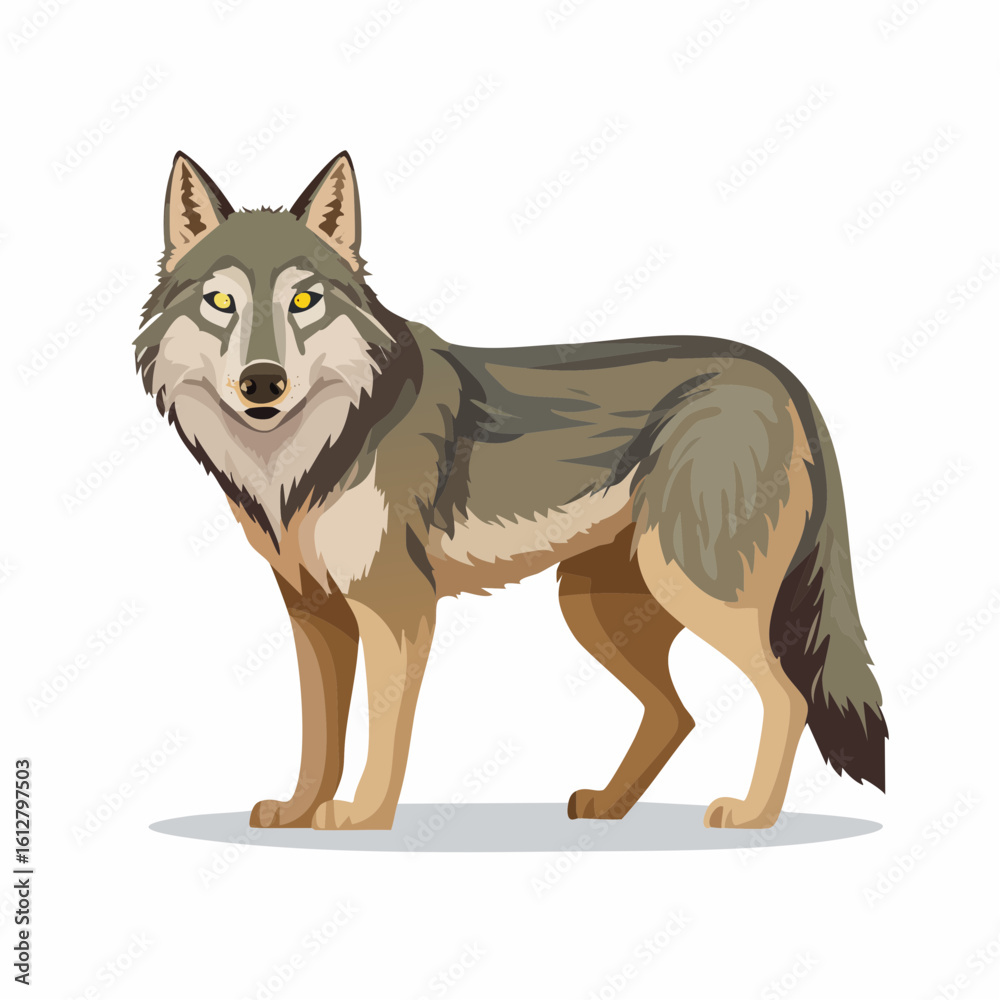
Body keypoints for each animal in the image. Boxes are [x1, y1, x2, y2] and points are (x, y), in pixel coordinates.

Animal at [135, 151, 886, 831]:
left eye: (303, 301)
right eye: (221, 302)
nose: (262, 383)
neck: (313, 451)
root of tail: (783, 375)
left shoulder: (395, 608)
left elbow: (383, 731)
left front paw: (363, 816)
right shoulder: (313, 613)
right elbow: (319, 735)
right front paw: (298, 810)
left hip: (691, 587)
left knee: (786, 697)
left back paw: (753, 815)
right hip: (595, 609)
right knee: (677, 714)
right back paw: (609, 807)